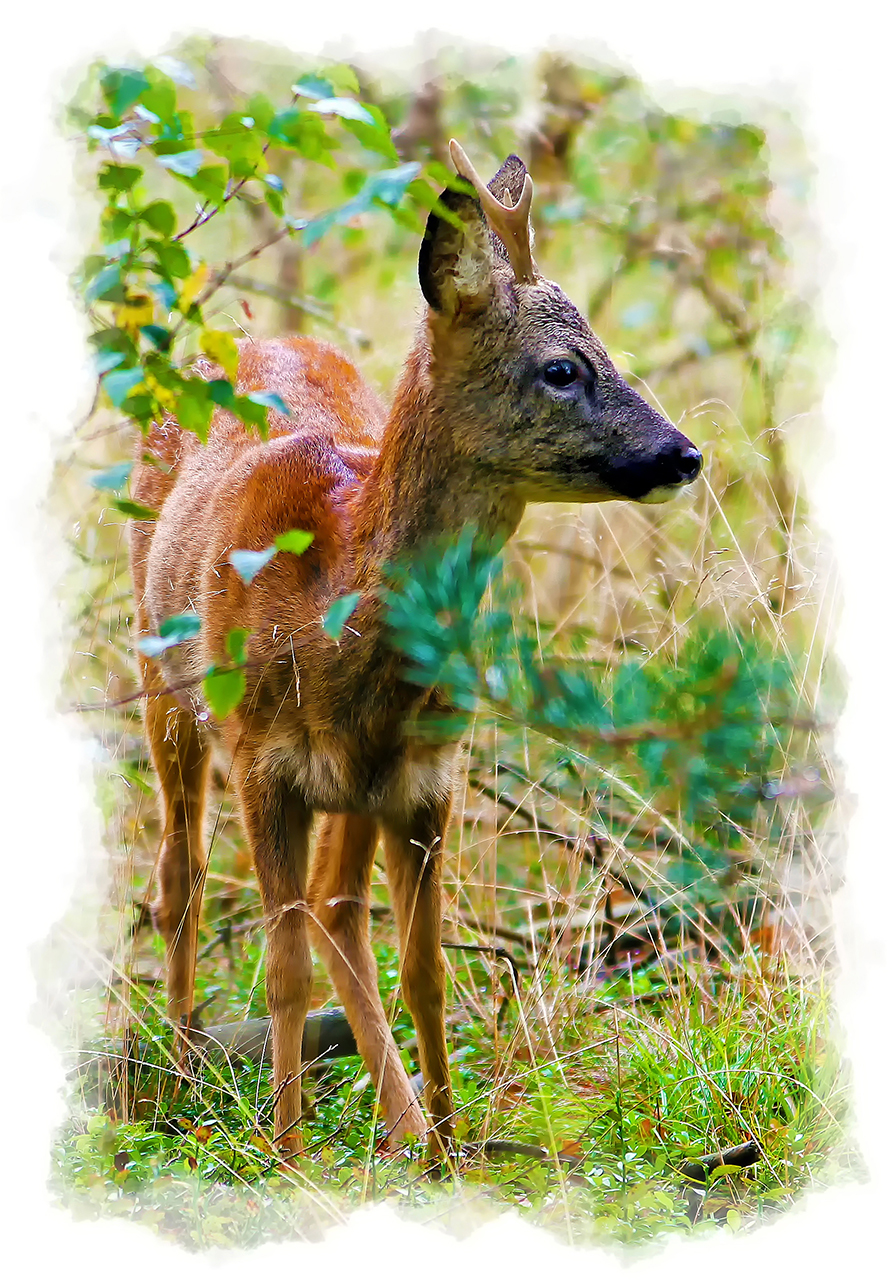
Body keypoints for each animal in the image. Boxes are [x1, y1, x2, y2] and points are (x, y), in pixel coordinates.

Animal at [128, 140, 701, 1162]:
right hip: (164, 684)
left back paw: (396, 1124)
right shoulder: (264, 763)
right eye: (562, 369)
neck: (332, 614)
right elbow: (282, 967)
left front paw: (446, 1149)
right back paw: (188, 1076)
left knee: (338, 906)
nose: (684, 454)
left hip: (358, 779)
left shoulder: (426, 774)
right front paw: (289, 1153)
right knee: (179, 877)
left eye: (606, 352)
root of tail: (235, 335)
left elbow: (426, 967)